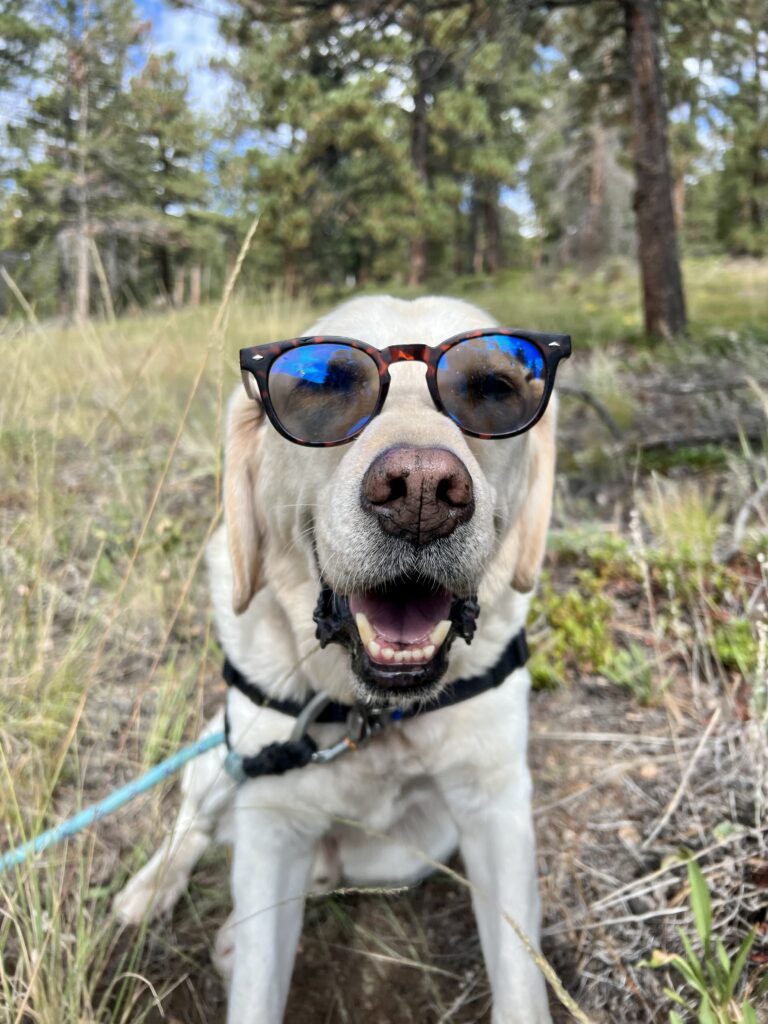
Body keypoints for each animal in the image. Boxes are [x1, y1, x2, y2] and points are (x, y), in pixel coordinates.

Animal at [115, 296, 573, 1024]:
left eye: (494, 387)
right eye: (324, 384)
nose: (421, 492)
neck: (369, 714)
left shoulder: (496, 804)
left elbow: (523, 982)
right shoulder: (270, 823)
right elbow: (256, 987)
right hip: (223, 758)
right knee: (193, 818)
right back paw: (151, 889)